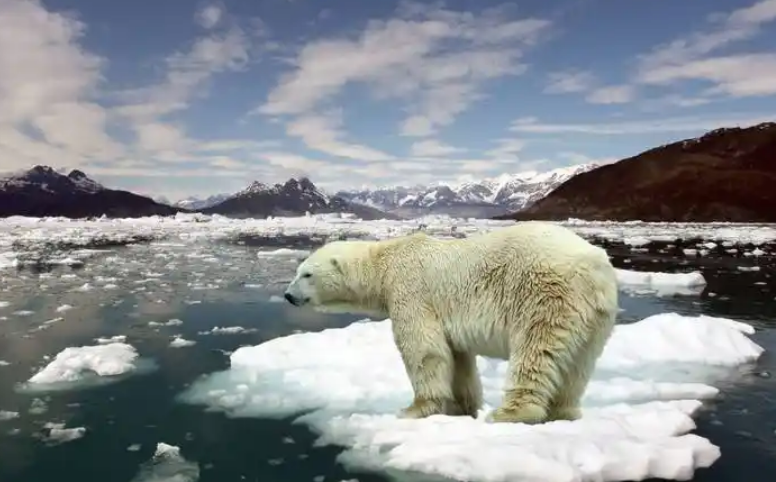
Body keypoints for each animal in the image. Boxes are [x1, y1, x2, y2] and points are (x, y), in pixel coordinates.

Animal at [283, 221, 619, 424]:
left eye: (307, 274)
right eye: (297, 271)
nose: (287, 295)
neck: (385, 263)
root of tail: (595, 267)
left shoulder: (411, 291)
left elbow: (423, 349)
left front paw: (413, 409)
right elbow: (457, 358)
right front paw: (462, 408)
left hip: (545, 294)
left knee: (535, 352)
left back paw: (509, 413)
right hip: (596, 317)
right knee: (578, 365)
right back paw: (564, 412)